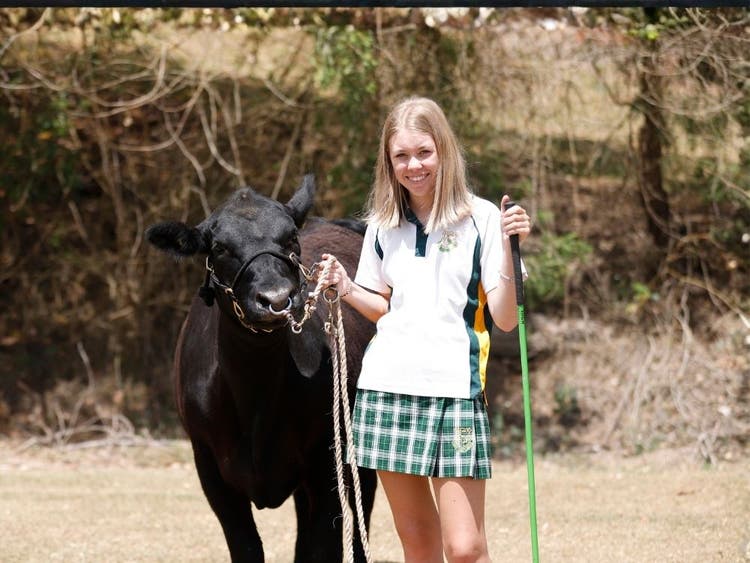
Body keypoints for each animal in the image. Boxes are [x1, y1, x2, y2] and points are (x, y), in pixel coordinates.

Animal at [145, 175, 377, 562]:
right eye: (219, 247)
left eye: (290, 238)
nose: (276, 298)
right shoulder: (209, 467)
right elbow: (247, 546)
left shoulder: (328, 462)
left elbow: (321, 546)